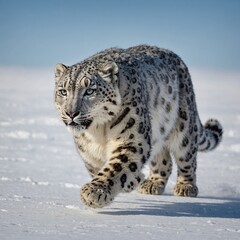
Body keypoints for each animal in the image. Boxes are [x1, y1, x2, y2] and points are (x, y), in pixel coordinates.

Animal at [54, 45, 223, 208]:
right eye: (63, 91)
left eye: (89, 91)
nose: (71, 113)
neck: (98, 132)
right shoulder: (88, 151)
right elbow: (99, 168)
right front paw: (132, 181)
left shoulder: (132, 139)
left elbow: (116, 167)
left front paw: (95, 192)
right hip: (158, 134)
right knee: (164, 161)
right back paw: (152, 184)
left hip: (184, 128)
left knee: (187, 158)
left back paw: (186, 187)